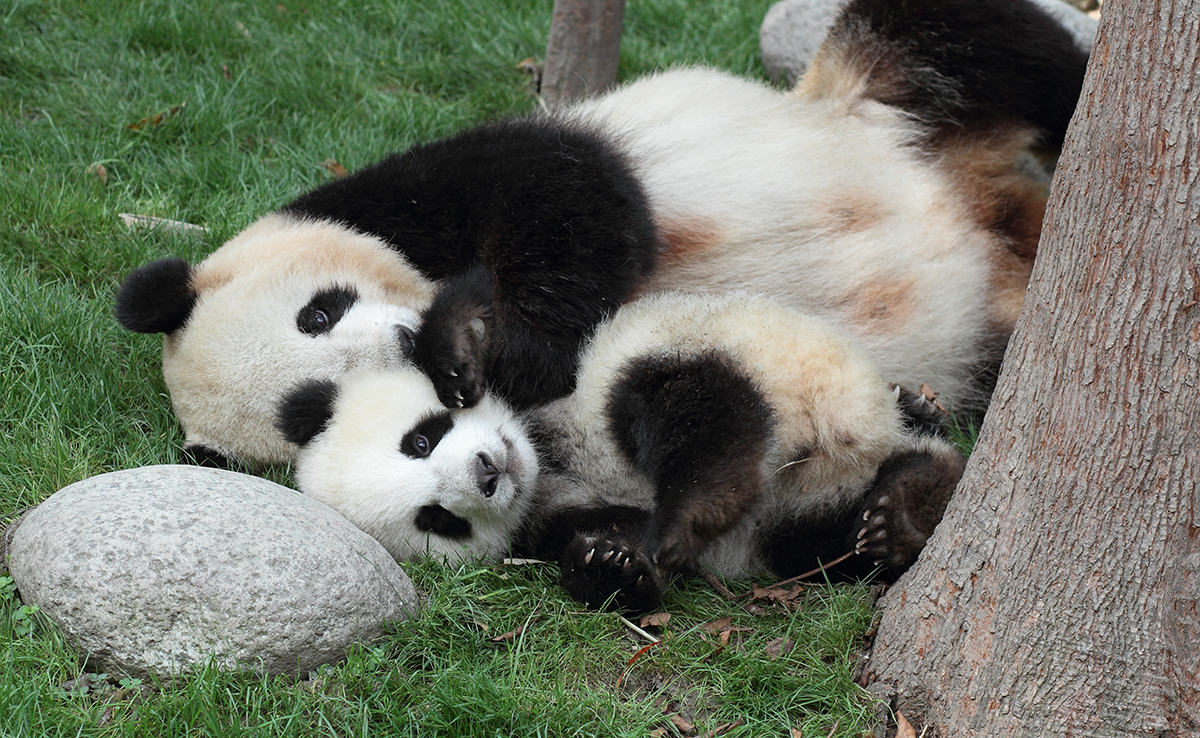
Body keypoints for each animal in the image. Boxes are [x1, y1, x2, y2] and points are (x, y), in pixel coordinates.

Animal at [112, 0, 1089, 468]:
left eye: (318, 311)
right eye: (317, 410)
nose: (403, 342)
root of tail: (994, 218)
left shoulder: (415, 191)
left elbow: (572, 194)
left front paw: (476, 337)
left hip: (877, 97)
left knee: (968, 39)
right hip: (984, 336)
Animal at [278, 292, 964, 612]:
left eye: (420, 439)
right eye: (436, 519)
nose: (488, 473)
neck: (545, 456)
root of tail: (847, 431)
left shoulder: (555, 365)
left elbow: (516, 333)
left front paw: (453, 359)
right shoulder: (546, 517)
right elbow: (597, 537)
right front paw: (609, 565)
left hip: (743, 352)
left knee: (672, 406)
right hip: (797, 508)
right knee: (815, 536)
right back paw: (903, 510)